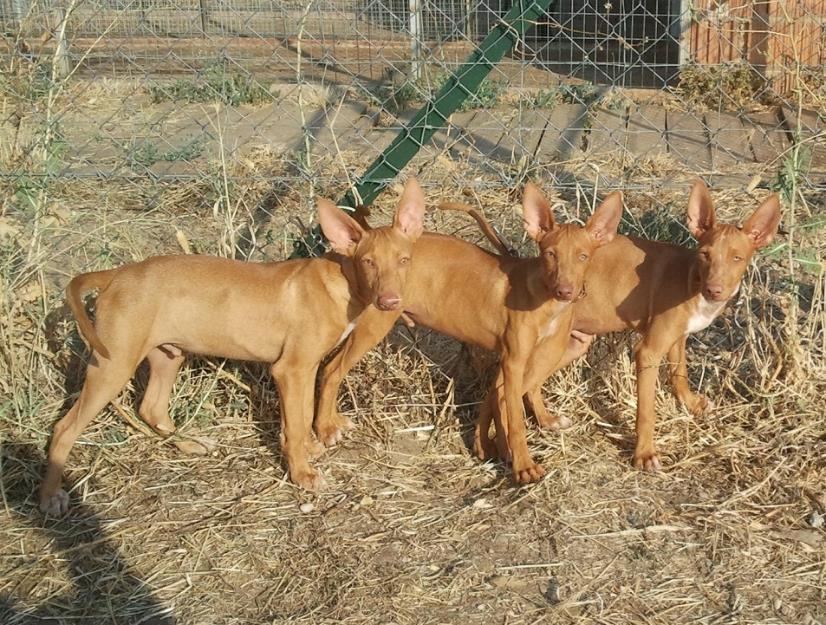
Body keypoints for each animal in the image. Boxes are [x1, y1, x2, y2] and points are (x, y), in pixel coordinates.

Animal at [39, 178, 428, 516]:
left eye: (404, 260)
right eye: (368, 262)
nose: (390, 301)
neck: (340, 280)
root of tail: (117, 274)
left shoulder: (304, 369)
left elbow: (300, 417)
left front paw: (305, 450)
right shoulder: (291, 369)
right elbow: (298, 421)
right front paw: (302, 473)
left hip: (169, 353)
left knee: (151, 408)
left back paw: (191, 444)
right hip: (114, 362)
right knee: (65, 428)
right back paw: (50, 496)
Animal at [312, 183, 620, 480]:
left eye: (583, 257)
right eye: (550, 255)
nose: (565, 291)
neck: (542, 296)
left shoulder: (541, 353)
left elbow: (513, 394)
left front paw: (512, 436)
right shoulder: (513, 361)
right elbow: (513, 416)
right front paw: (521, 465)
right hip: (373, 325)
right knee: (331, 370)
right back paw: (326, 428)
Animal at [476, 180, 780, 472]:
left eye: (737, 258)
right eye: (705, 254)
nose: (714, 290)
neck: (690, 277)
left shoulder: (676, 339)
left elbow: (679, 374)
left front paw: (691, 403)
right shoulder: (648, 352)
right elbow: (646, 410)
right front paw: (644, 454)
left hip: (569, 344)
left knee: (519, 386)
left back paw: (541, 421)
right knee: (501, 391)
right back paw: (498, 448)